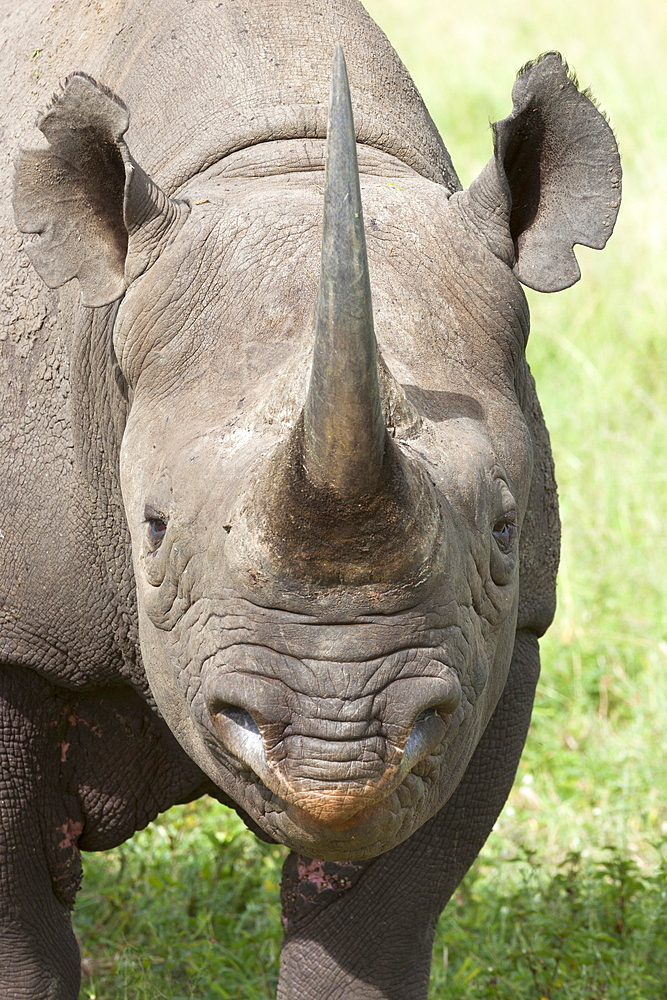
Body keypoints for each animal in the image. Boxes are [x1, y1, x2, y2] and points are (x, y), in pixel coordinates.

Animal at [0, 1, 620, 1000]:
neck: (273, 165)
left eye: (503, 529)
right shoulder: (18, 629)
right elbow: (22, 936)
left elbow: (375, 921)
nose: (336, 749)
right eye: (152, 531)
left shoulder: (497, 645)